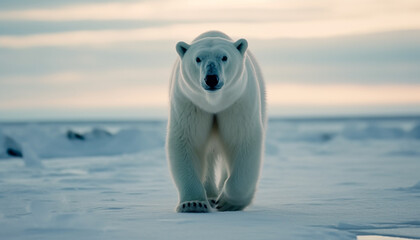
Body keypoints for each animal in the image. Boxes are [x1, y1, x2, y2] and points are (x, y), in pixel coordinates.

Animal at [167, 31, 266, 213]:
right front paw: (193, 204)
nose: (211, 78)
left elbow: (242, 141)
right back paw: (211, 196)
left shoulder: (237, 104)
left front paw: (229, 202)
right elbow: (187, 141)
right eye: (198, 58)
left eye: (224, 57)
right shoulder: (189, 105)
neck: (214, 102)